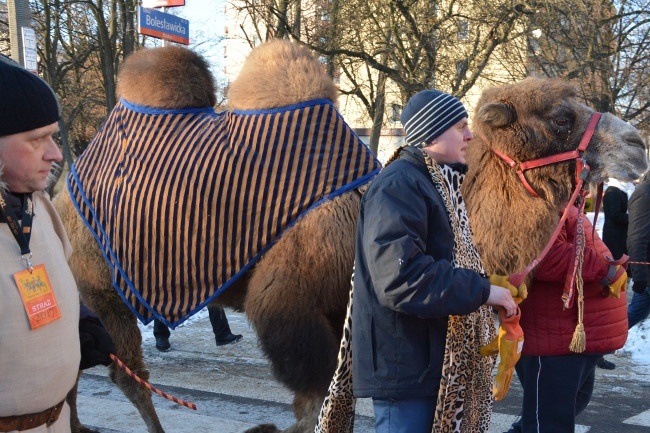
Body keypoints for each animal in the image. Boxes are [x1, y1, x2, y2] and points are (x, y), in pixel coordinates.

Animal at [57, 38, 648, 432]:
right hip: (96, 277)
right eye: (560, 117)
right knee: (124, 372)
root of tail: (64, 183)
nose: (638, 144)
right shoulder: (291, 312)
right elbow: (309, 407)